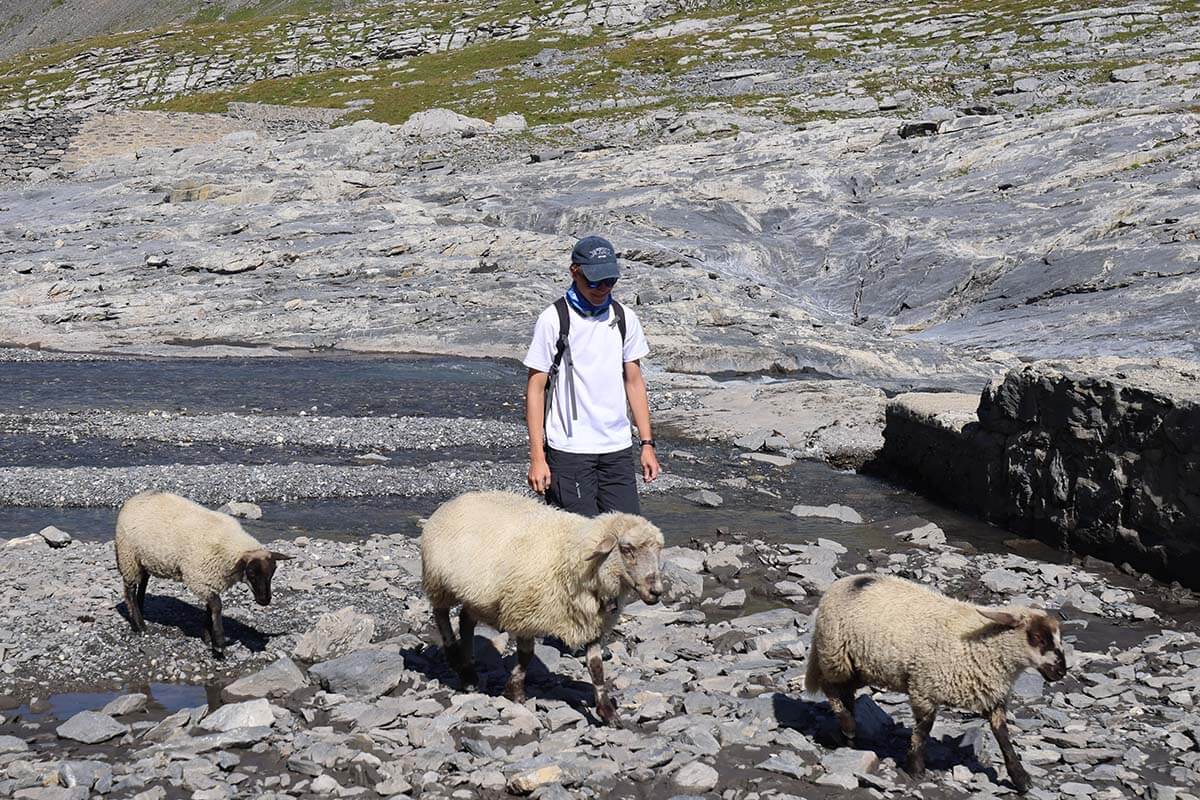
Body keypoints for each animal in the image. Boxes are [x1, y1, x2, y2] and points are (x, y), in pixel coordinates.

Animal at [115, 494, 292, 657]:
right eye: (251, 574)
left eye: (272, 573)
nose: (265, 600)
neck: (228, 546)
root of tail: (136, 497)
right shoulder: (199, 578)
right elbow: (217, 607)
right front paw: (219, 643)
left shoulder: (210, 580)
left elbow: (210, 609)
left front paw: (208, 638)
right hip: (128, 556)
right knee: (129, 590)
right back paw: (140, 626)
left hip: (144, 559)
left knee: (143, 582)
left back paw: (140, 611)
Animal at [422, 491, 667, 729]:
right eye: (626, 549)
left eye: (658, 550)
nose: (656, 591)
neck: (573, 555)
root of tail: (455, 500)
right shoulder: (524, 612)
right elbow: (526, 656)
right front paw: (515, 694)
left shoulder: (592, 622)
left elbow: (596, 668)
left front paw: (608, 713)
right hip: (439, 583)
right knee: (441, 615)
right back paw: (456, 659)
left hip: (477, 595)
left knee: (465, 620)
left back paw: (469, 673)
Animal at [806, 575, 1070, 796]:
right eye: (1037, 638)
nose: (1061, 672)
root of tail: (847, 581)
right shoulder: (924, 688)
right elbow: (923, 731)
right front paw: (915, 769)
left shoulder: (993, 697)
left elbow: (1003, 737)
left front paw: (1021, 779)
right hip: (835, 655)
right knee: (831, 689)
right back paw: (848, 726)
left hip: (862, 665)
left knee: (847, 691)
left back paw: (850, 734)